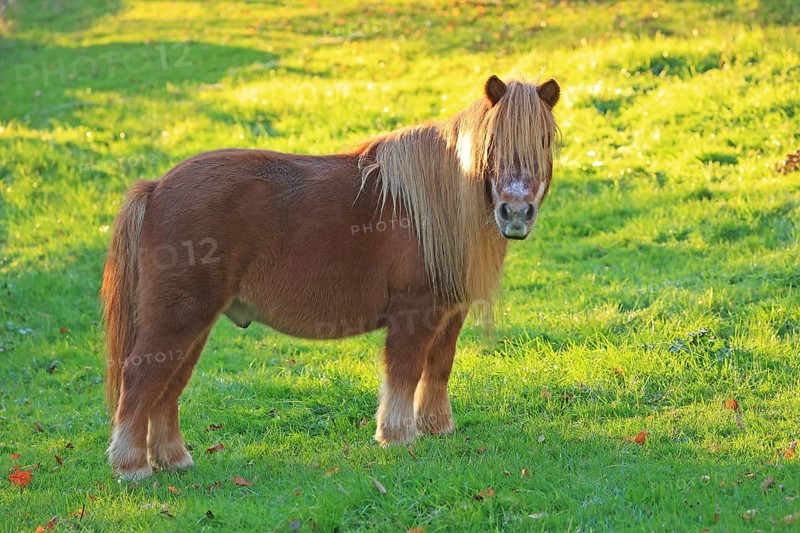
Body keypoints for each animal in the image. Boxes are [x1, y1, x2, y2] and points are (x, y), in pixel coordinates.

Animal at [101, 75, 560, 480]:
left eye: (543, 141)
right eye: (493, 143)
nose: (515, 213)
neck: (432, 205)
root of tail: (156, 187)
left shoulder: (449, 315)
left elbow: (438, 369)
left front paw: (436, 429)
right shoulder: (413, 315)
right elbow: (405, 372)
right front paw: (397, 437)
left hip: (193, 325)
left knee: (168, 388)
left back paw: (174, 460)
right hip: (178, 319)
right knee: (142, 380)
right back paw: (133, 467)